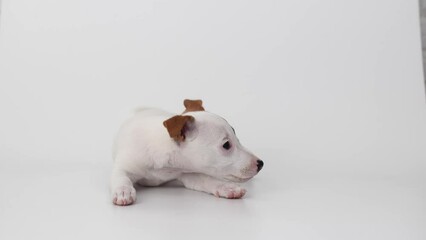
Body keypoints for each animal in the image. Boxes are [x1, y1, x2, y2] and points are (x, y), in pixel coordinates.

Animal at [110, 99, 262, 206]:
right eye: (226, 145)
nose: (261, 163)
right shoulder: (123, 166)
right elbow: (121, 177)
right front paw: (123, 191)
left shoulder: (189, 173)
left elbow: (207, 180)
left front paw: (227, 188)